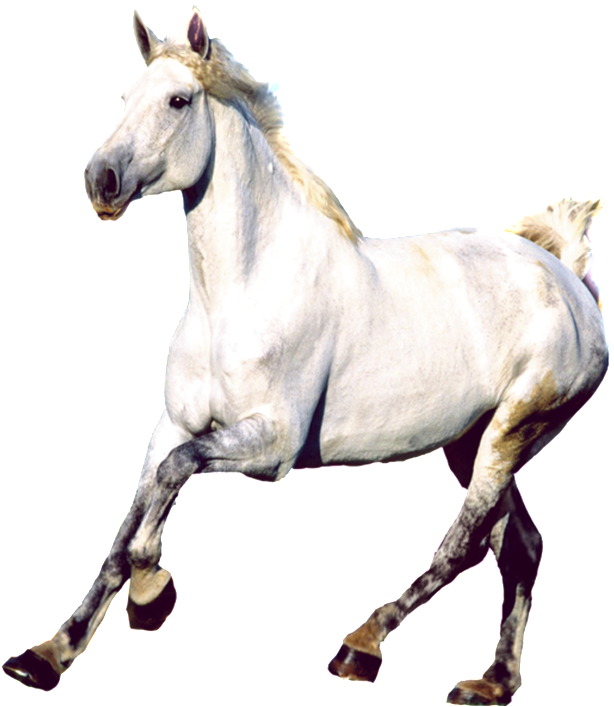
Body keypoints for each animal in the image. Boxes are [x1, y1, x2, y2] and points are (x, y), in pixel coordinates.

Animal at [3, 5, 609, 704]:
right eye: (126, 97)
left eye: (179, 101)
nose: (100, 181)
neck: (237, 295)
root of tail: (565, 275)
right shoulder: (173, 425)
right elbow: (133, 514)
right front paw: (49, 655)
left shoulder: (273, 446)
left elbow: (174, 477)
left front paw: (151, 591)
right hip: (472, 440)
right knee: (521, 546)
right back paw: (493, 682)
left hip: (514, 429)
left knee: (465, 541)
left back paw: (363, 647)